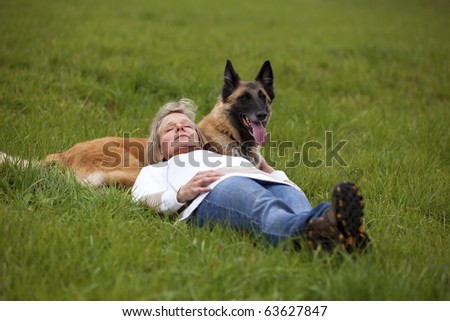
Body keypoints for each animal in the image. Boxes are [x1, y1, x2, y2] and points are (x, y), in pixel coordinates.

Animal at [0, 59, 272, 188]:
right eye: (244, 98)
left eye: (263, 97)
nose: (262, 115)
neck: (227, 130)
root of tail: (63, 155)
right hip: (132, 168)